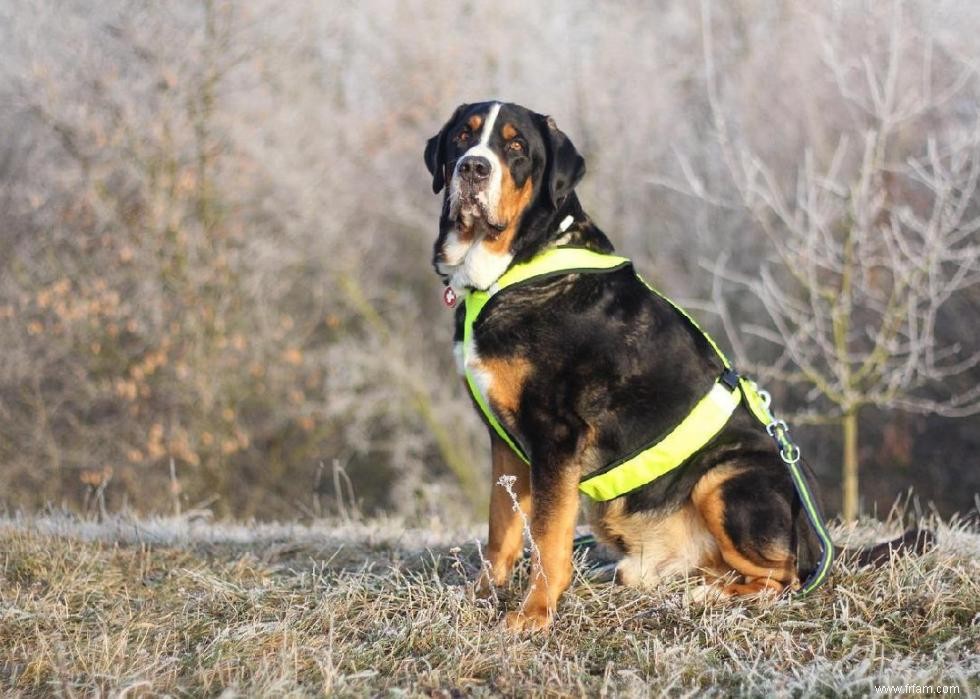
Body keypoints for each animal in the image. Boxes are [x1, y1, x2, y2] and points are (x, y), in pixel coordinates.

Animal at [424, 100, 928, 636]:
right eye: (463, 137)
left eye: (516, 146)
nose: (473, 168)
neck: (512, 269)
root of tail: (821, 539)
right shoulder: (505, 440)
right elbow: (502, 528)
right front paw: (480, 595)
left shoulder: (556, 435)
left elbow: (547, 537)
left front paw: (533, 614)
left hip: (725, 478)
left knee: (787, 576)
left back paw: (711, 595)